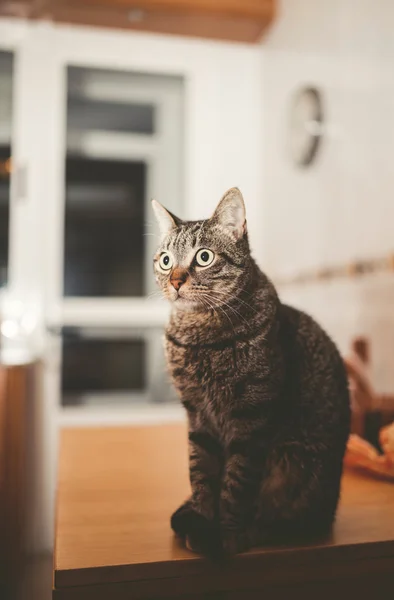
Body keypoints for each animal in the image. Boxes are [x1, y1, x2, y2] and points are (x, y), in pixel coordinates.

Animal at [152, 188, 350, 556]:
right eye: (166, 260)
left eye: (203, 257)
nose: (174, 280)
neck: (200, 334)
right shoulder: (197, 413)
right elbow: (201, 472)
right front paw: (201, 516)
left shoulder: (252, 418)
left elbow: (236, 483)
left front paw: (224, 535)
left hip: (298, 471)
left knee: (290, 521)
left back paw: (256, 530)